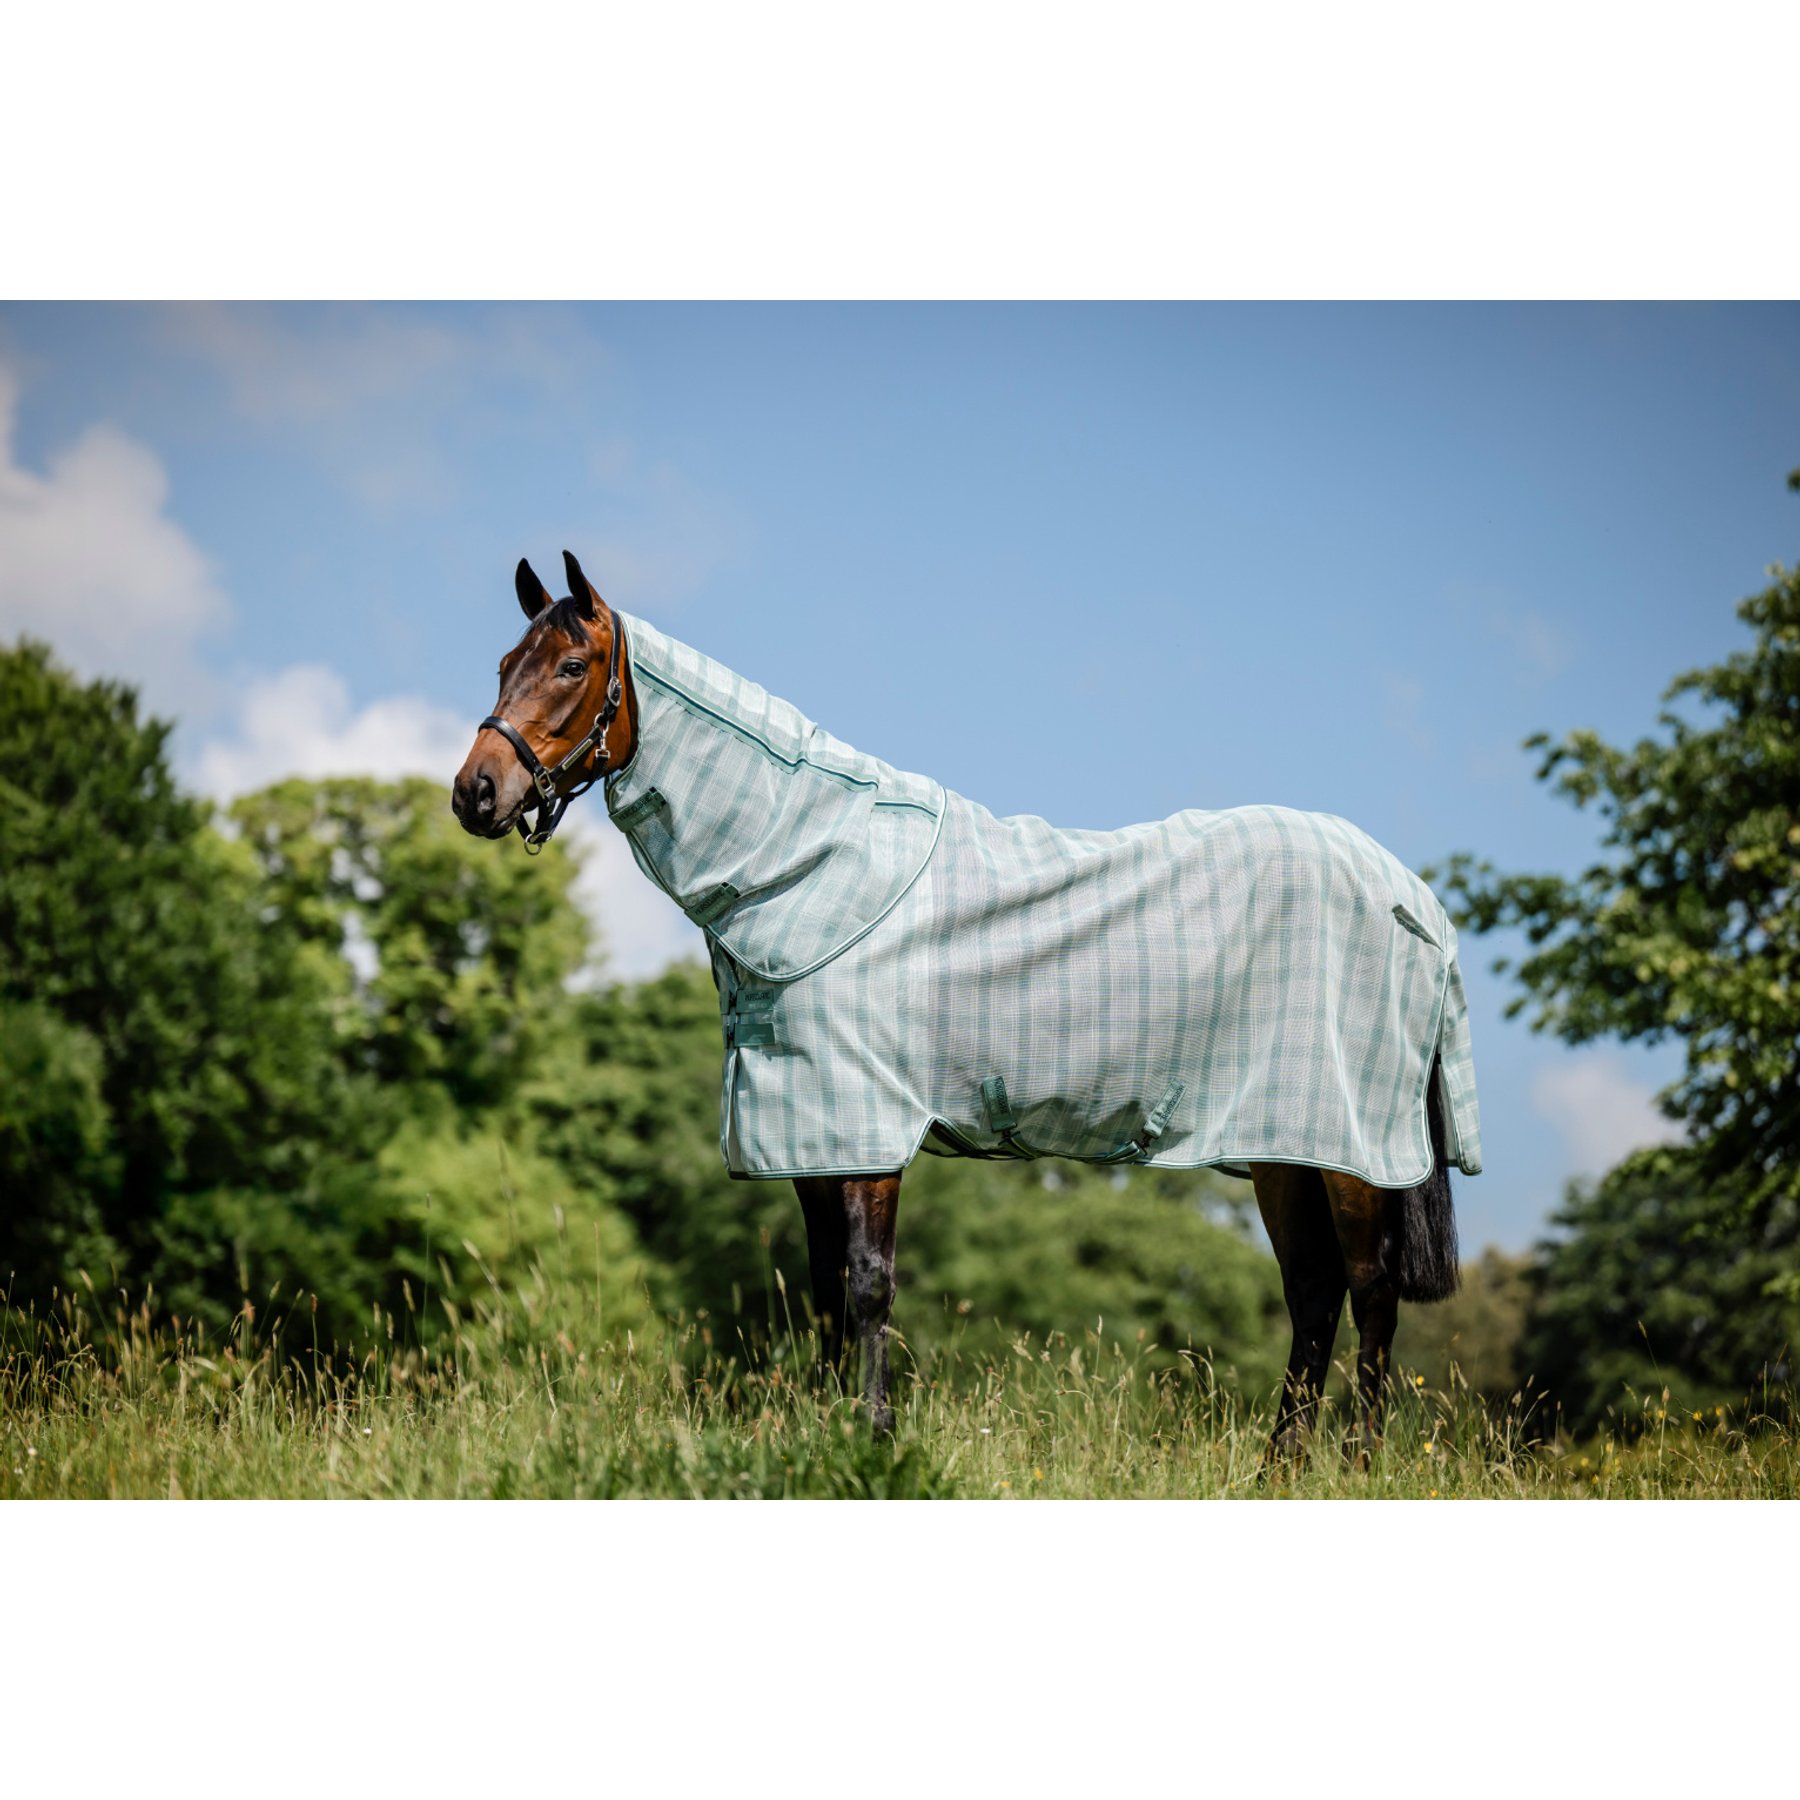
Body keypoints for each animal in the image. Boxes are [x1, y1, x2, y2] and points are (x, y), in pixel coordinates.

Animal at [453, 551, 1481, 1465]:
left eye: (573, 667)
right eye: (503, 665)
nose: (475, 793)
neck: (813, 862)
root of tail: (1415, 899)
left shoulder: (865, 1127)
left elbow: (868, 1288)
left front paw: (874, 1441)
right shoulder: (808, 1135)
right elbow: (826, 1292)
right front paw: (829, 1437)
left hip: (1349, 1152)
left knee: (1369, 1292)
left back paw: (1355, 1464)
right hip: (1282, 1149)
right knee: (1313, 1294)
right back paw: (1279, 1471)